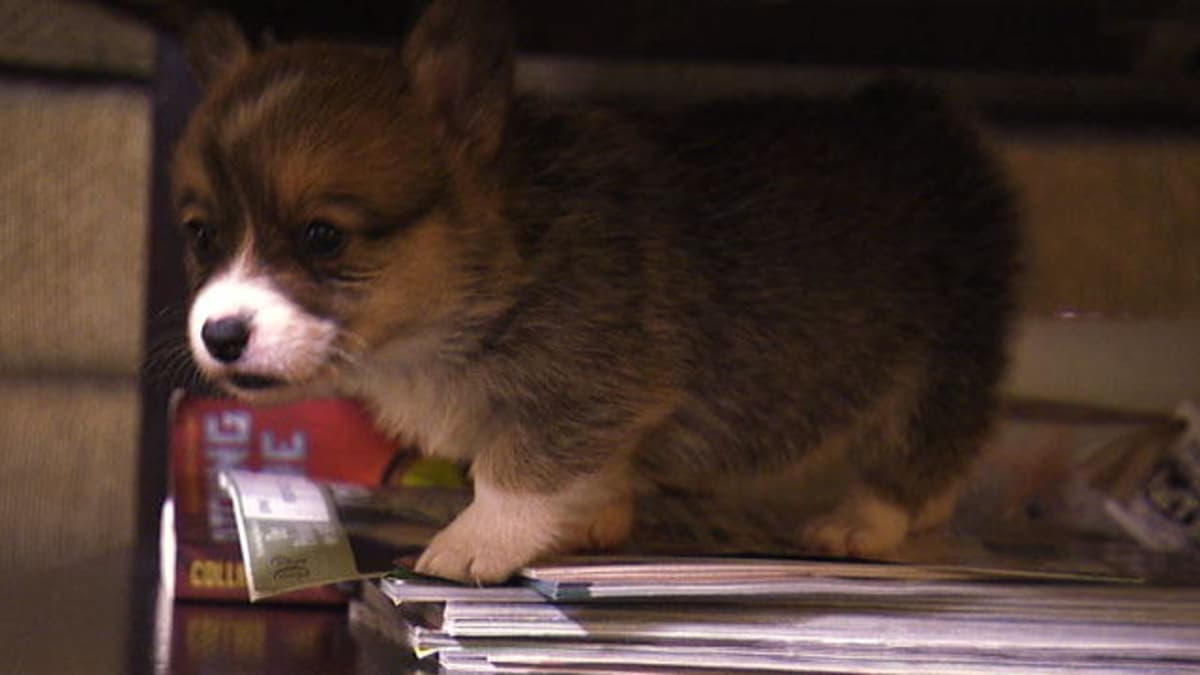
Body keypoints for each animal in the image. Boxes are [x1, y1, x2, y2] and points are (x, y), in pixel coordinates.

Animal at [175, 0, 1022, 581]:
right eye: (203, 236)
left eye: (324, 236)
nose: (220, 334)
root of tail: (922, 119)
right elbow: (595, 468)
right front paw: (594, 514)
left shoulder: (587, 385)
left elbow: (516, 472)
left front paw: (472, 542)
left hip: (942, 351)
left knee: (928, 441)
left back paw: (863, 521)